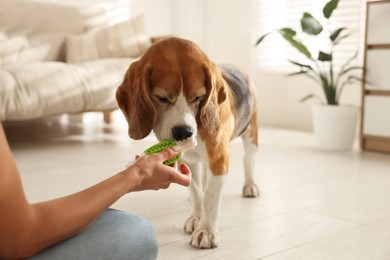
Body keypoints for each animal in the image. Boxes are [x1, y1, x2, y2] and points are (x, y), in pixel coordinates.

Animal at [117, 36, 260, 248]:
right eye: (162, 98)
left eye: (198, 97)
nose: (183, 132)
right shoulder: (187, 159)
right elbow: (196, 191)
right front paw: (196, 217)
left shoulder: (219, 157)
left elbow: (210, 197)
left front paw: (206, 230)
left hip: (251, 134)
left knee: (249, 160)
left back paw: (250, 185)